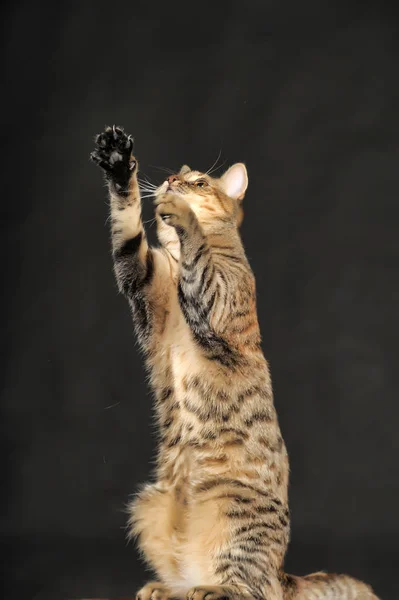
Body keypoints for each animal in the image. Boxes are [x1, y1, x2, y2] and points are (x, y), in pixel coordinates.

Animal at [91, 125, 382, 600]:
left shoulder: (216, 299)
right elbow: (127, 225)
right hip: (151, 503)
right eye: (177, 174)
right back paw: (166, 588)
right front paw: (119, 164)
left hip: (234, 516)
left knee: (251, 588)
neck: (175, 259)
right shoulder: (143, 279)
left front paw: (182, 212)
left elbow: (198, 251)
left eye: (199, 182)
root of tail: (285, 574)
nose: (171, 179)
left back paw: (211, 588)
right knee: (191, 579)